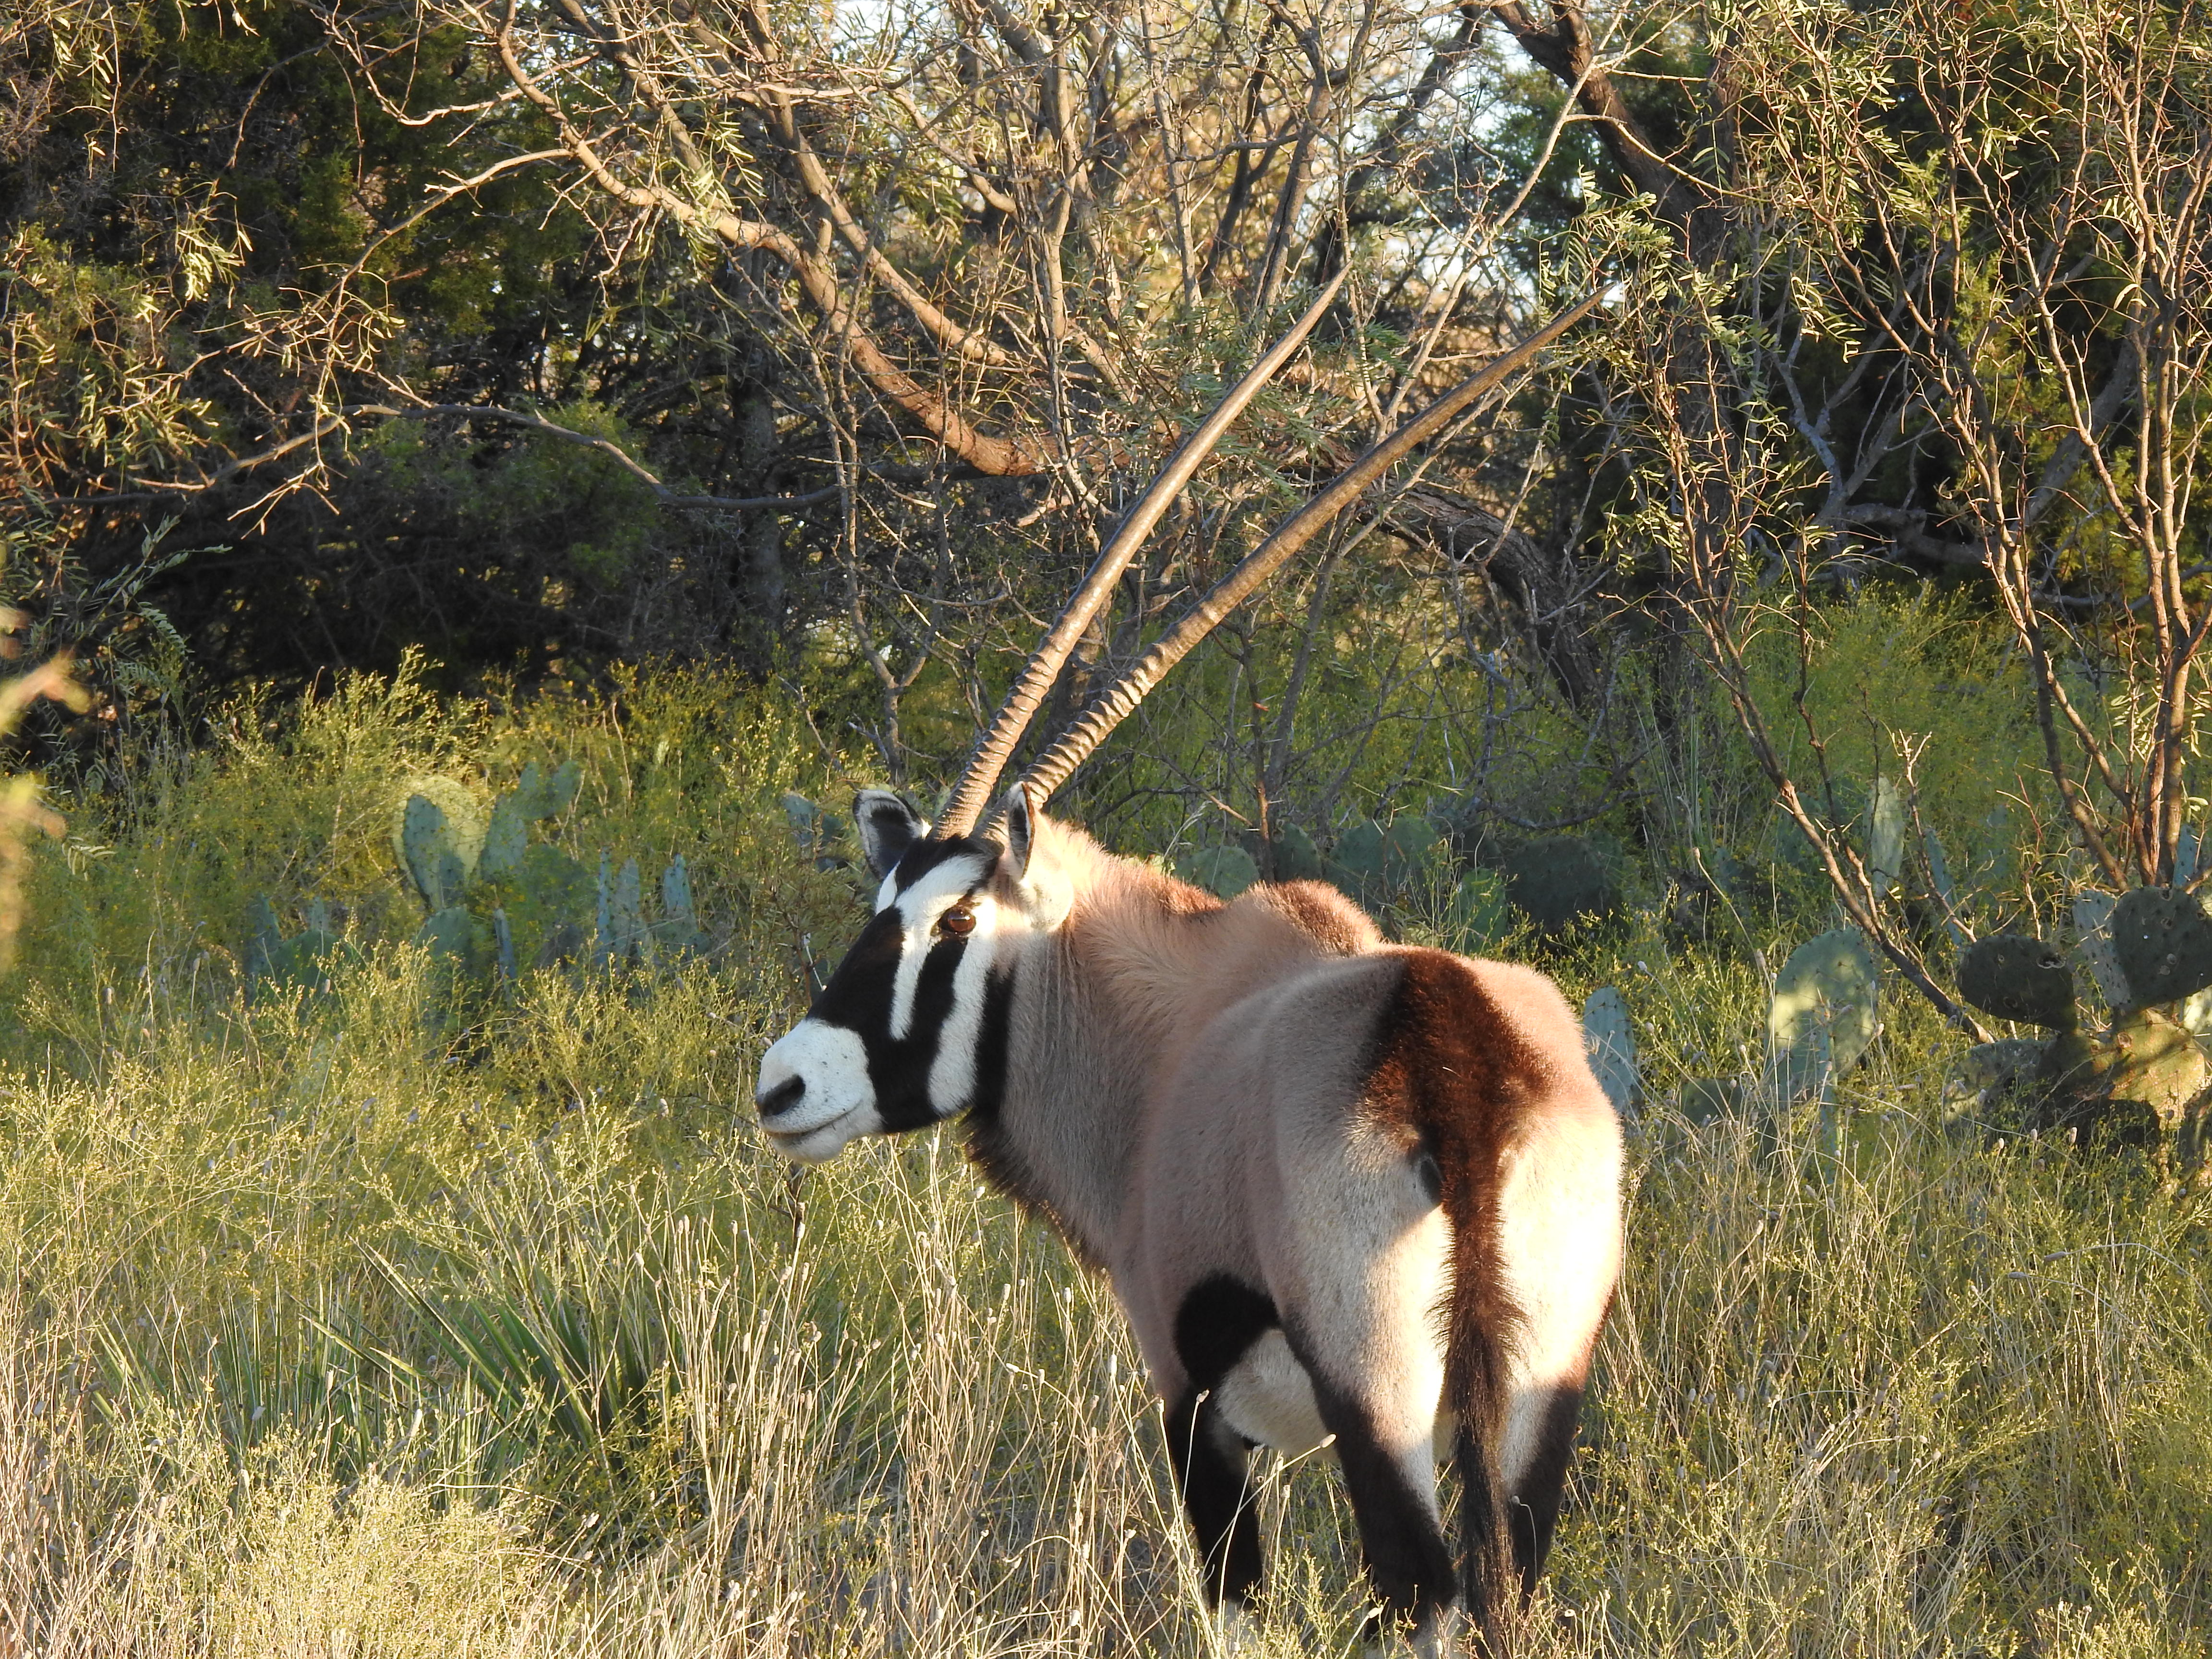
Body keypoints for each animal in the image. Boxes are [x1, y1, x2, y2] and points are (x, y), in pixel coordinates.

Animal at [756, 292, 1628, 1654]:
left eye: (955, 925)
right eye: (881, 904)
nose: (784, 1085)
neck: (1165, 1043)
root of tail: (1451, 1043)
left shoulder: (1193, 1406)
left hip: (1380, 1395)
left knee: (1426, 1594)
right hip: (1532, 1398)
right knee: (1498, 1592)